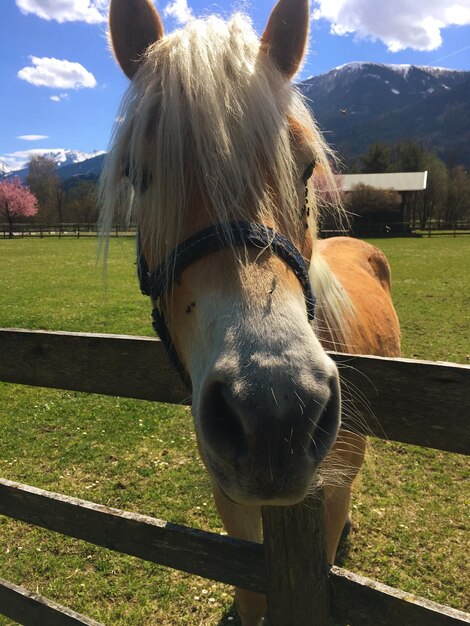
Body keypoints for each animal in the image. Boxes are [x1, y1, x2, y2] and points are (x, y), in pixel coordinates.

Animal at [100, 2, 400, 620]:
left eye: (306, 167)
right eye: (139, 175)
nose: (275, 413)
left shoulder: (329, 496)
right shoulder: (231, 500)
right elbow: (251, 589)